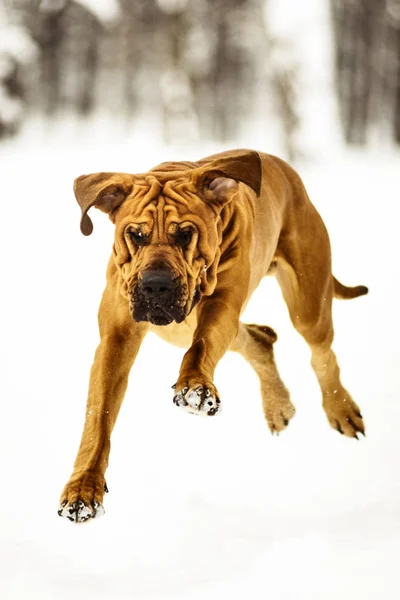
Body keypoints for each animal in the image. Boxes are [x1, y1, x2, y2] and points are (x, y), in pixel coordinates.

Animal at [57, 151, 368, 524]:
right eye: (136, 235)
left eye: (185, 234)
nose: (155, 285)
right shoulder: (116, 339)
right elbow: (99, 415)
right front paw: (83, 488)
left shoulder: (220, 308)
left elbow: (201, 347)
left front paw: (195, 388)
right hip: (189, 329)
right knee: (260, 339)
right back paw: (277, 404)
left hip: (308, 303)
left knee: (321, 353)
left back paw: (341, 408)